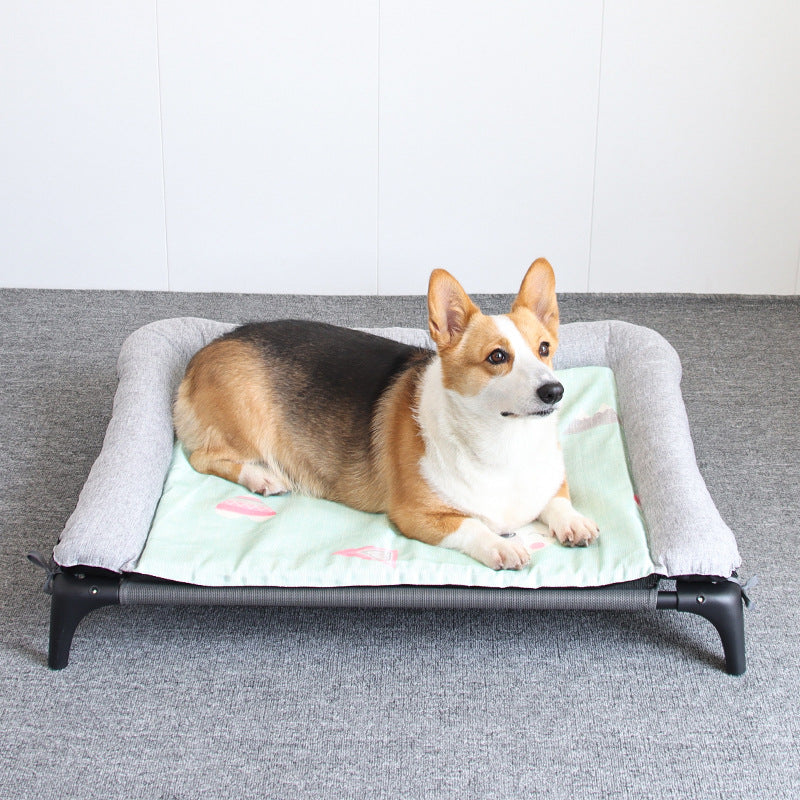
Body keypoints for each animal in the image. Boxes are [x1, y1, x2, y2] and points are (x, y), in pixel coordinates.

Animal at [177, 258, 600, 568]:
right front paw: (503, 545)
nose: (554, 391)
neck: (506, 443)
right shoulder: (417, 515)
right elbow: (472, 526)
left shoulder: (550, 485)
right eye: (497, 357)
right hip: (248, 424)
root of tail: (202, 354)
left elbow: (558, 500)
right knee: (203, 457)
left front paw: (575, 521)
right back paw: (261, 477)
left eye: (544, 349)